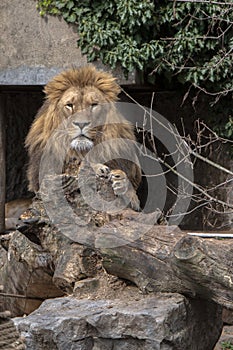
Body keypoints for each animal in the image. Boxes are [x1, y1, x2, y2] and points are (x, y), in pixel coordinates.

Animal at [25, 65, 142, 211]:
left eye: (93, 105)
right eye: (70, 105)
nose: (81, 124)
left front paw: (122, 182)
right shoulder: (43, 176)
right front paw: (98, 167)